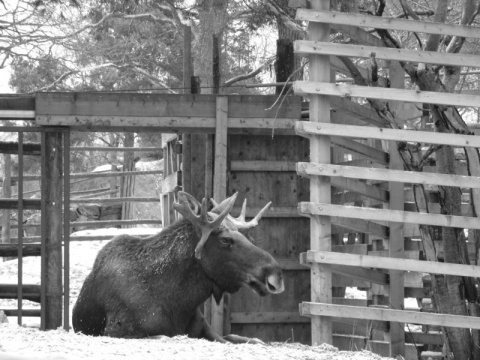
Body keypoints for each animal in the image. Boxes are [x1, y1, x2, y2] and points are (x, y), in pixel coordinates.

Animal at [73, 193, 284, 342]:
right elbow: (164, 336)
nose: (276, 276)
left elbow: (250, 339)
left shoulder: (207, 330)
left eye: (248, 237)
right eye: (225, 240)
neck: (180, 303)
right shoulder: (116, 330)